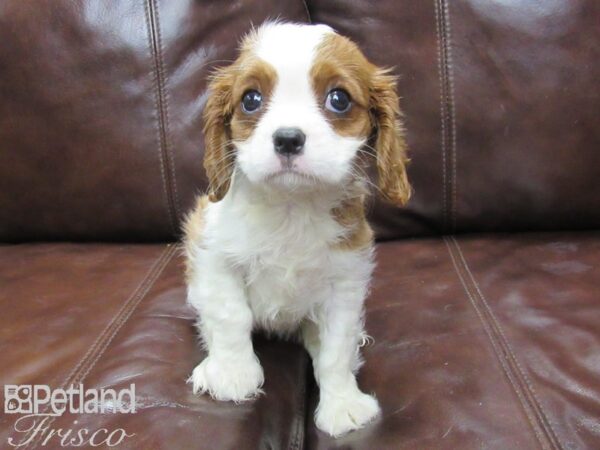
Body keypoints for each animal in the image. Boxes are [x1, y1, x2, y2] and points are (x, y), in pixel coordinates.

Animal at [182, 21, 408, 436]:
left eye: (339, 99)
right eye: (251, 100)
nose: (288, 138)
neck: (291, 207)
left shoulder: (345, 282)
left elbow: (336, 349)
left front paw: (342, 404)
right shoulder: (212, 250)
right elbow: (230, 314)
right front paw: (232, 374)